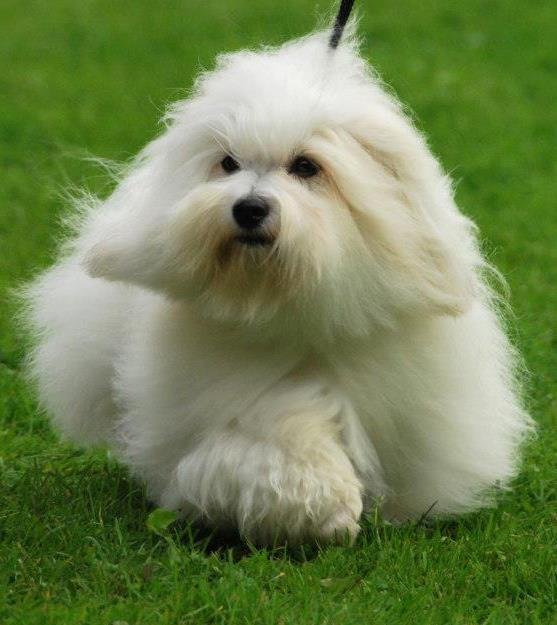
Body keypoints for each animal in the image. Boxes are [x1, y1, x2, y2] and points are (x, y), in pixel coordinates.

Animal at [23, 6, 533, 544]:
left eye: (306, 166)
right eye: (227, 163)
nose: (249, 208)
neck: (282, 302)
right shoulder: (241, 400)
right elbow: (277, 442)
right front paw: (328, 509)